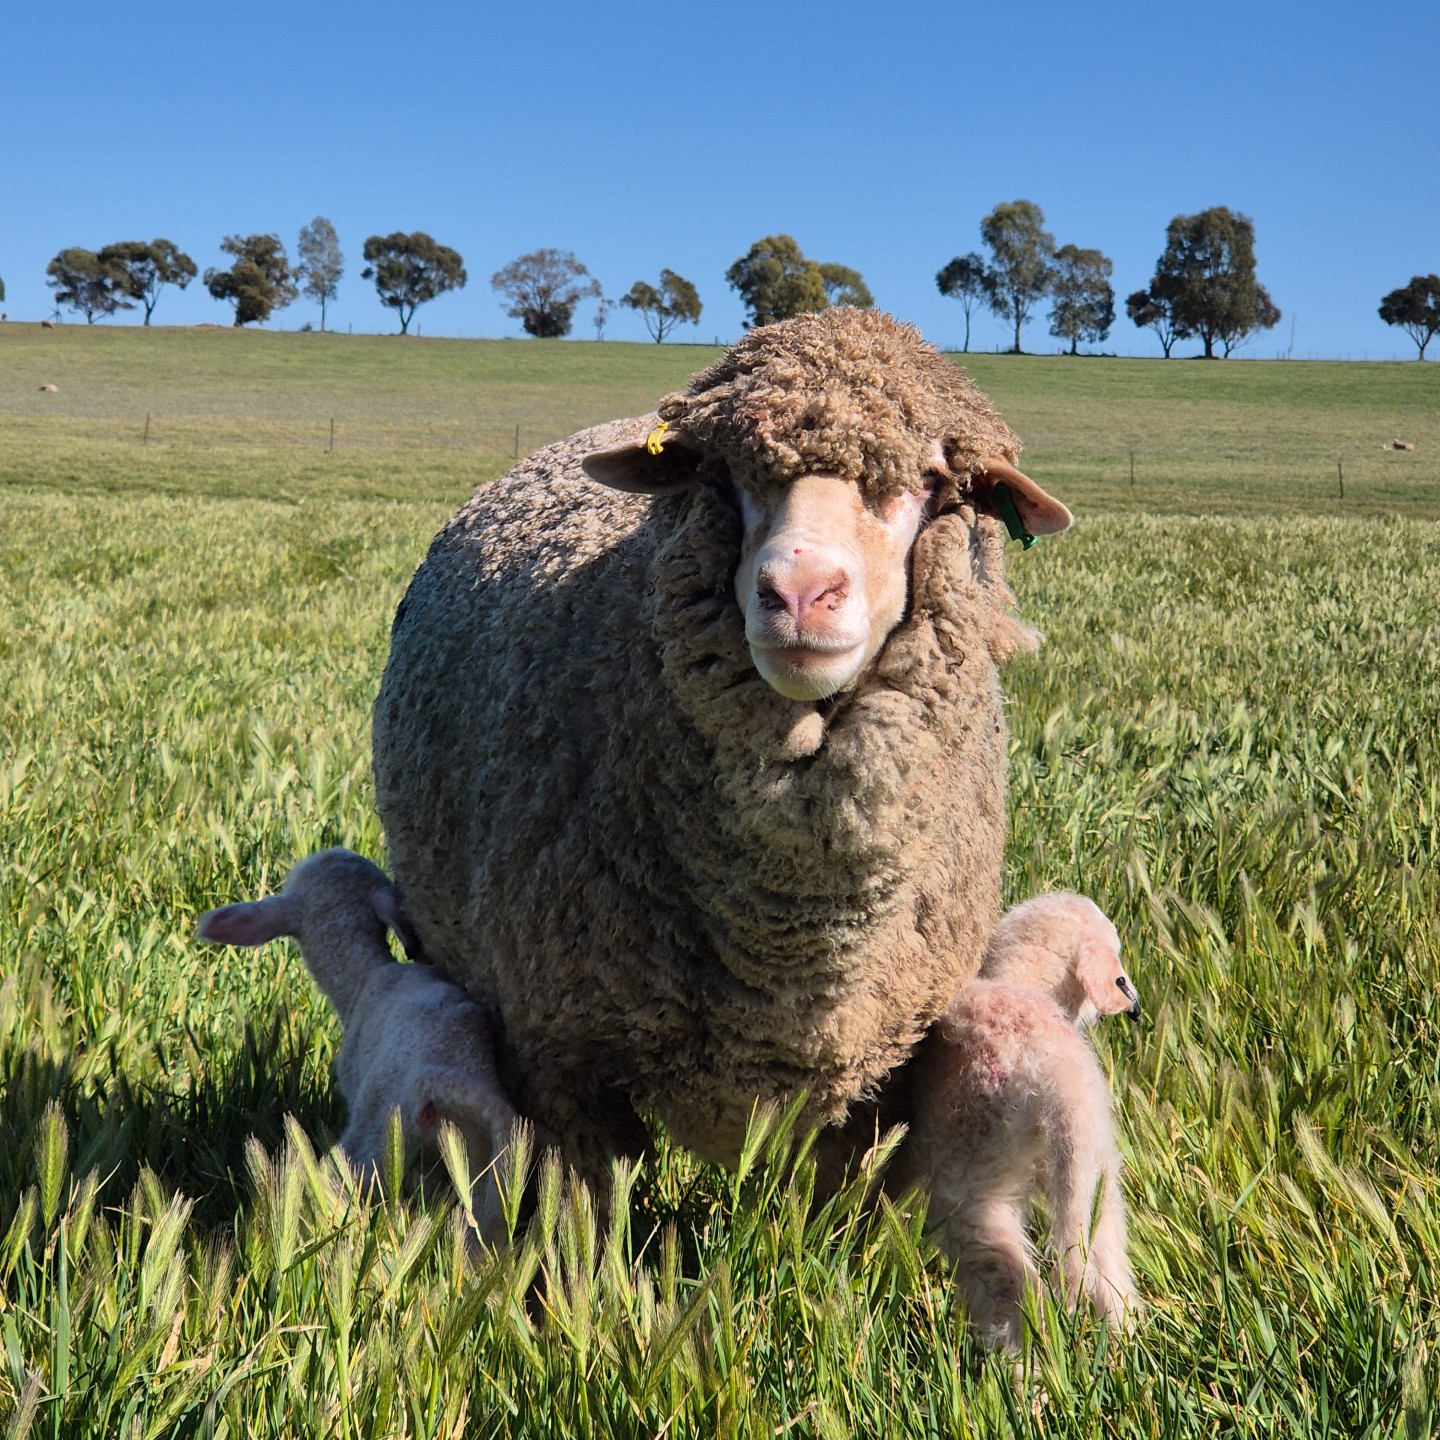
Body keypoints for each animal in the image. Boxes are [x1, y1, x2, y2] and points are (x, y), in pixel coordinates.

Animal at [371, 307, 1074, 1192]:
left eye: (927, 483)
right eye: (729, 474)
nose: (798, 592)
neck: (790, 928)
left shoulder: (883, 1070)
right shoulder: (560, 1052)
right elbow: (593, 1215)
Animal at [903, 892, 1142, 1350]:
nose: (1133, 999)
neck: (1019, 980)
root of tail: (1051, 1070)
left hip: (974, 1187)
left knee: (1009, 1289)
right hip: (1090, 1167)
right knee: (1107, 1265)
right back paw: (1121, 1347)